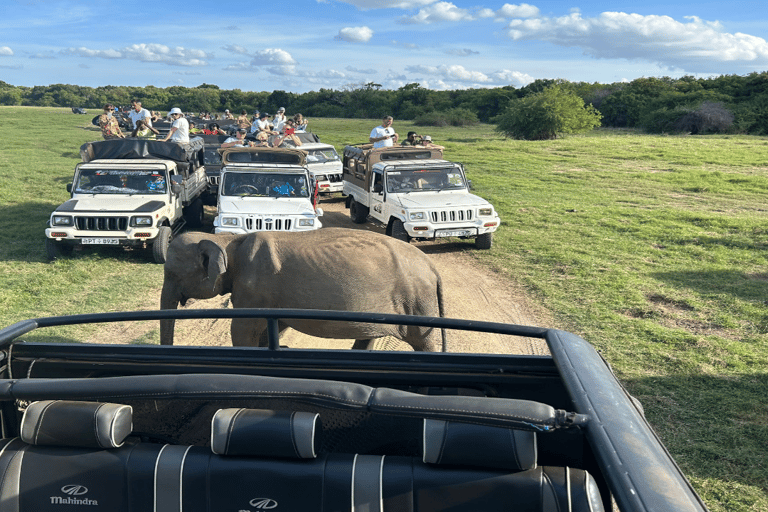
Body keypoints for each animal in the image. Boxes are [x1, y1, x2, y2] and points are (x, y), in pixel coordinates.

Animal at [159, 228, 446, 351]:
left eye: (171, 273)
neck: (228, 240)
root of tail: (433, 268)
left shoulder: (254, 288)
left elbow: (242, 329)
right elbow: (272, 328)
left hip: (417, 302)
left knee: (423, 341)